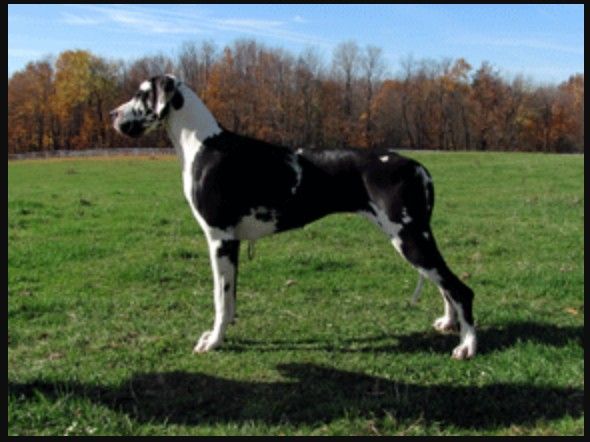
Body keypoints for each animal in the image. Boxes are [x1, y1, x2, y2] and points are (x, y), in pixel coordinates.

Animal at [111, 74, 477, 359]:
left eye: (141, 94)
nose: (112, 113)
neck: (202, 144)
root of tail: (418, 167)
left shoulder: (220, 239)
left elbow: (220, 299)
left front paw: (214, 341)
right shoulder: (230, 243)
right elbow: (230, 299)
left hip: (409, 238)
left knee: (460, 289)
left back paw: (467, 345)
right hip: (416, 239)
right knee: (444, 284)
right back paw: (449, 323)